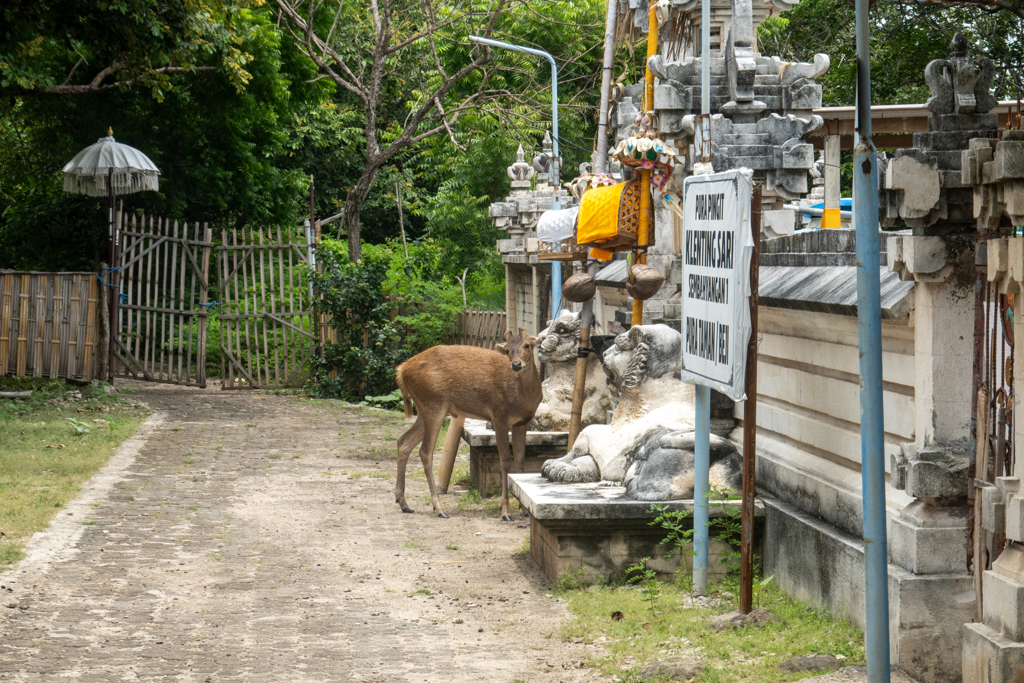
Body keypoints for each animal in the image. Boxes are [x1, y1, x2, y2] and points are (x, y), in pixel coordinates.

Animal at [391, 327, 544, 520]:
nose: (516, 364)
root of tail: (401, 371)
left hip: (426, 408)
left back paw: (404, 503)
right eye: (508, 350)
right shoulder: (499, 415)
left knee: (403, 442)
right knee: (425, 452)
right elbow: (505, 461)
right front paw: (505, 511)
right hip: (433, 404)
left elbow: (521, 460)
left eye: (527, 345)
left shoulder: (522, 423)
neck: (523, 398)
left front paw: (524, 509)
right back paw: (439, 508)